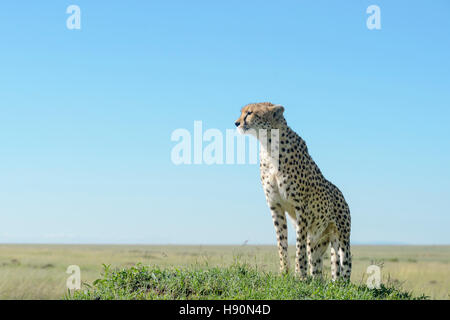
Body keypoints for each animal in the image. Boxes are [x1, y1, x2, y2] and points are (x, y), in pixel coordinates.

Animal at [236, 102, 352, 280]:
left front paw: (300, 275)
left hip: (342, 237)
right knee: (317, 263)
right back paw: (319, 281)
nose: (236, 123)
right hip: (318, 238)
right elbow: (282, 242)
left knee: (344, 262)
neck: (269, 146)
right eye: (242, 112)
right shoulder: (275, 206)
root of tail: (340, 193)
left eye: (249, 113)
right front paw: (284, 273)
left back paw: (341, 283)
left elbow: (299, 246)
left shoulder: (301, 209)